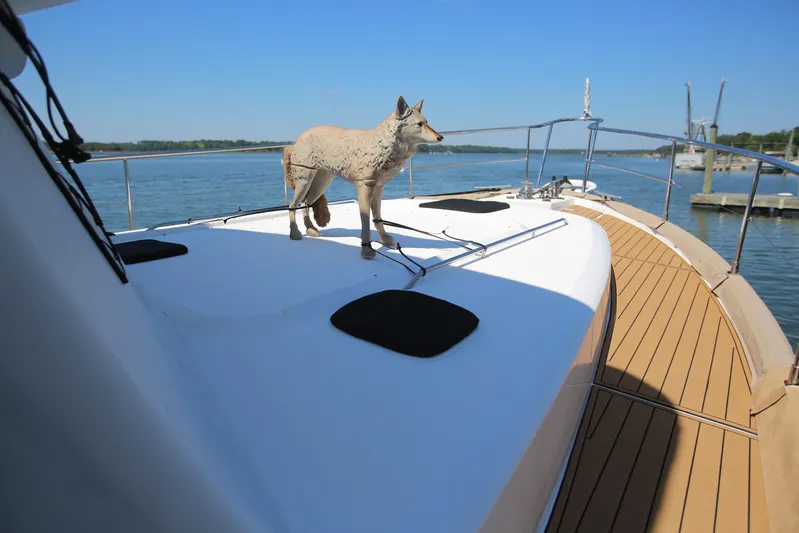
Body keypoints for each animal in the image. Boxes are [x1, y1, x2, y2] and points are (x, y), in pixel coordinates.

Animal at [282, 96, 443, 258]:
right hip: (305, 181)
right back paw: (294, 232)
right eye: (419, 124)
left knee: (305, 203)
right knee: (292, 205)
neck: (381, 144)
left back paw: (310, 228)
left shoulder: (378, 187)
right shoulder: (364, 187)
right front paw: (367, 250)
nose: (440, 137)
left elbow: (377, 218)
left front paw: (384, 239)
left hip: (321, 184)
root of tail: (296, 141)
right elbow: (365, 222)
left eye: (427, 122)